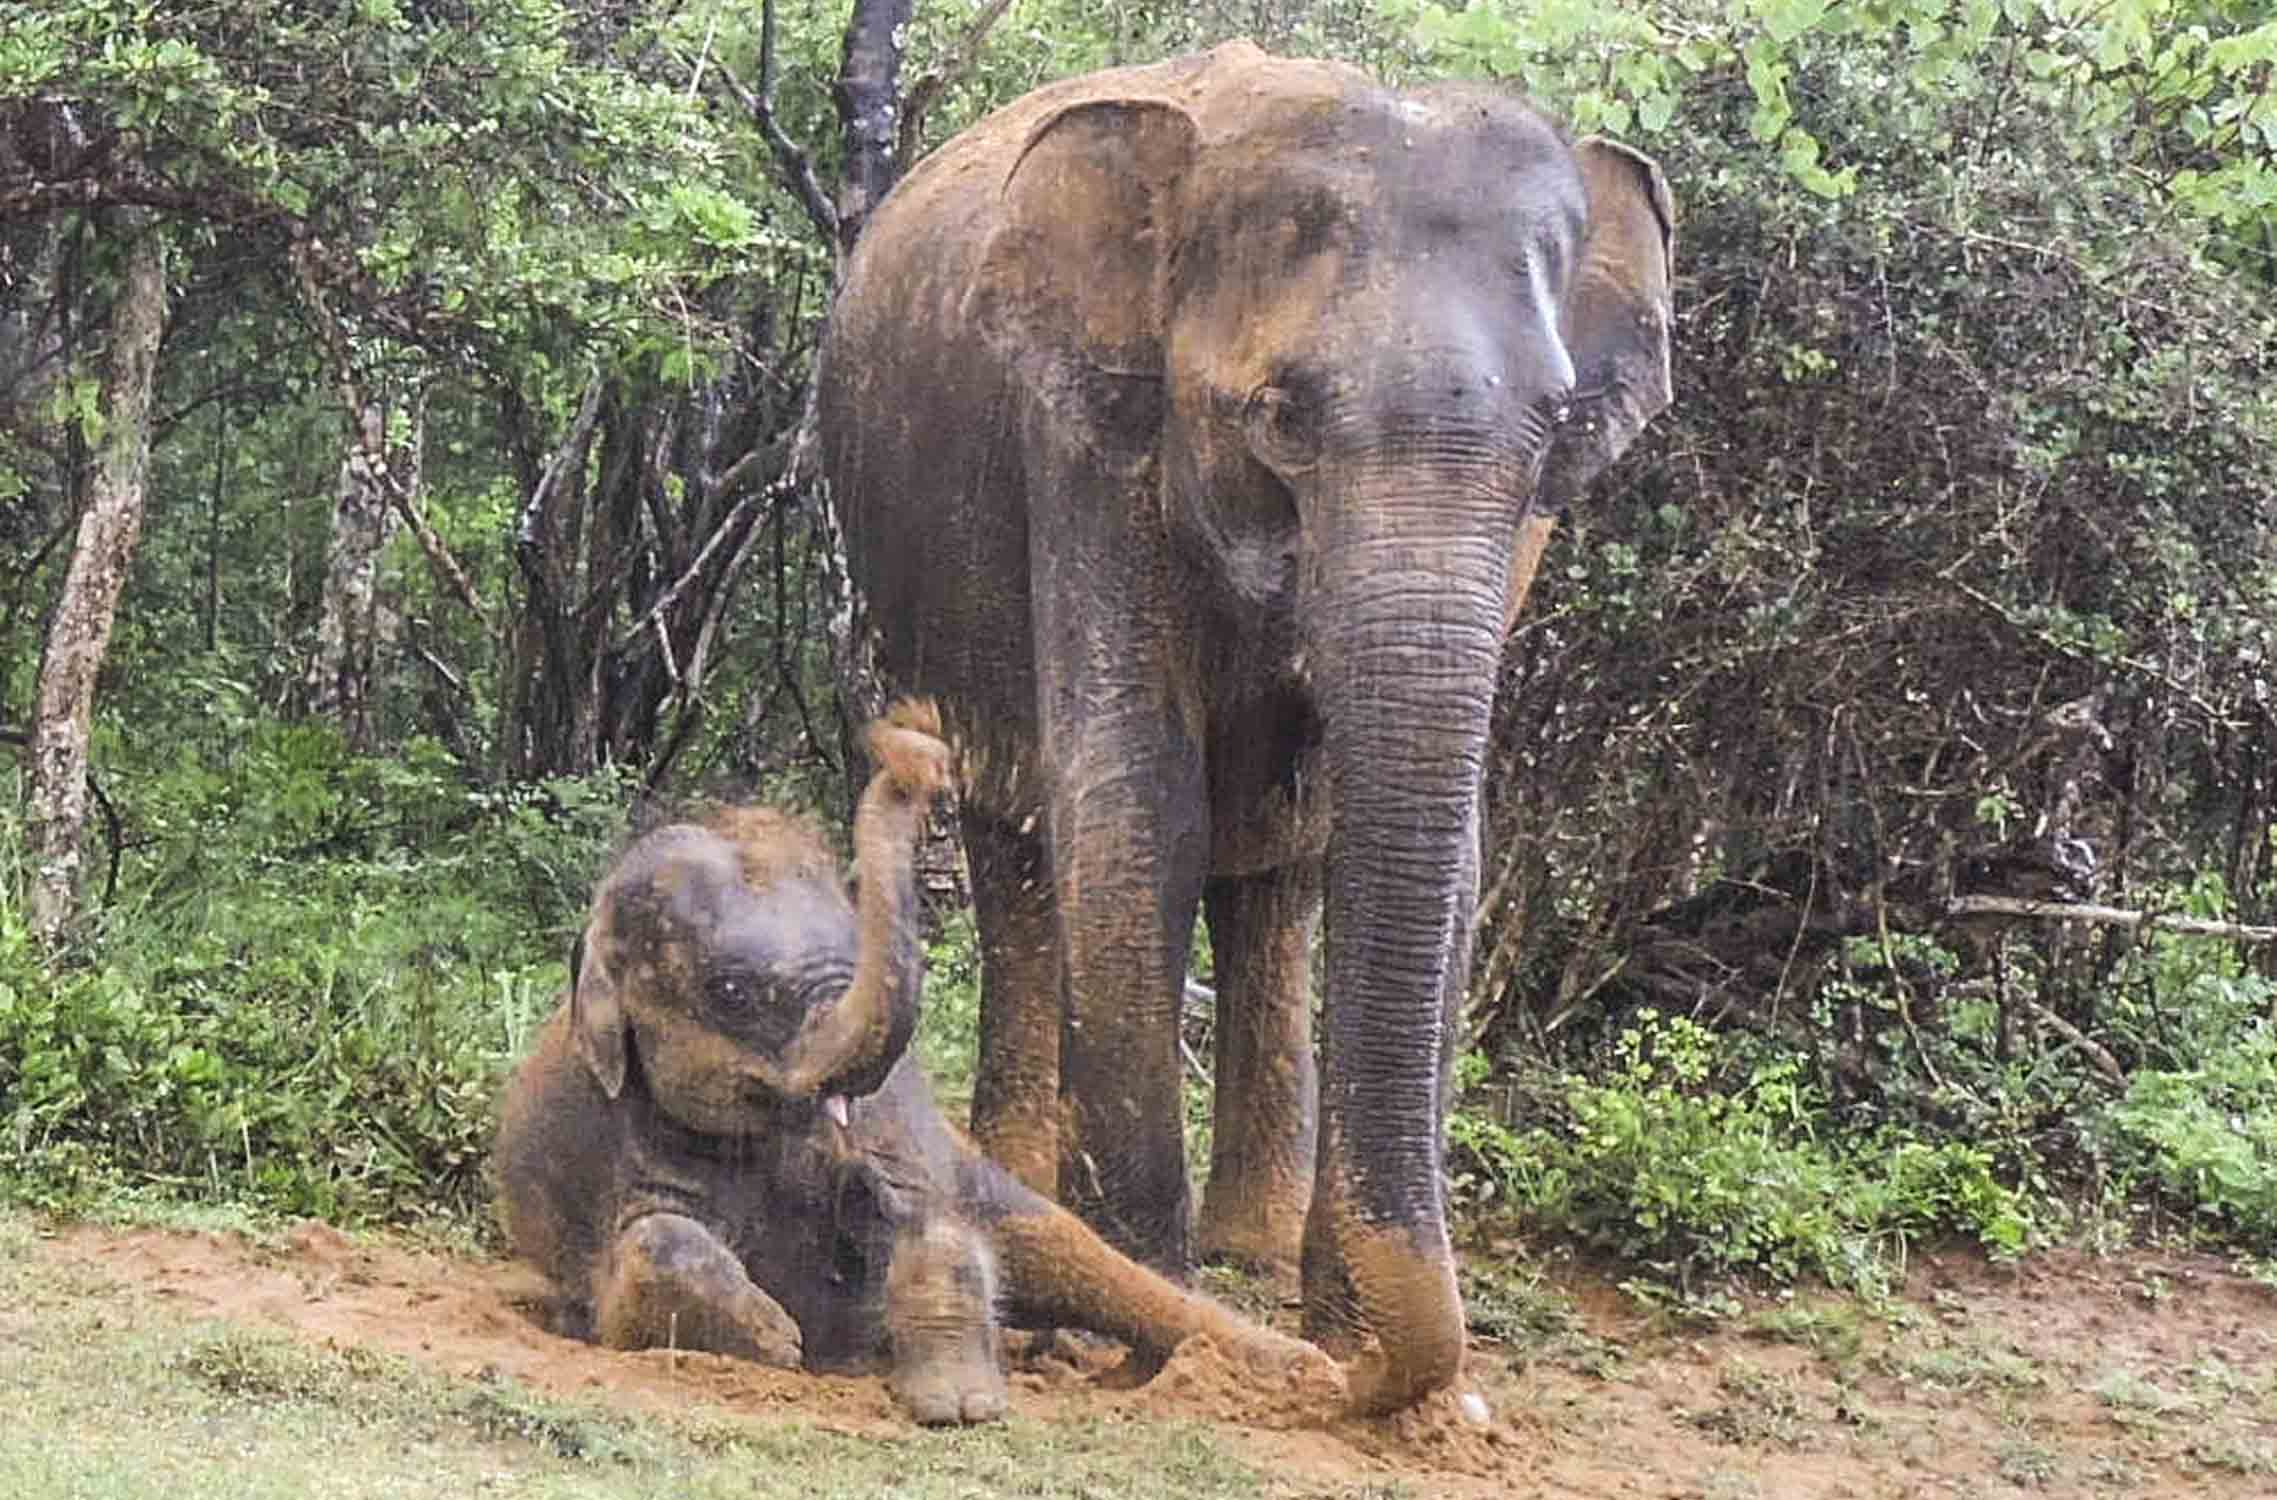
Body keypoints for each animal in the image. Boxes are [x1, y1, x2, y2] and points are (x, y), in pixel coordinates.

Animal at [492, 703, 1325, 1425]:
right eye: (730, 992)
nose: (911, 749)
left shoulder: (899, 1120)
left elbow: (937, 1220)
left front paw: (959, 1402)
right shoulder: (621, 1140)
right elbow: (641, 1258)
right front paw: (779, 1342)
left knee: (1063, 1247)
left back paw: (1294, 1371)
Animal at [817, 41, 1675, 1413]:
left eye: (1551, 426)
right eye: (1279, 414)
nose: (1366, 1374)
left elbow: (1443, 857)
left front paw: (1360, 1346)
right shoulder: (1091, 452)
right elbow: (1136, 813)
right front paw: (1144, 1337)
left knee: (1272, 875)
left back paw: (1253, 1249)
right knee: (1019, 838)